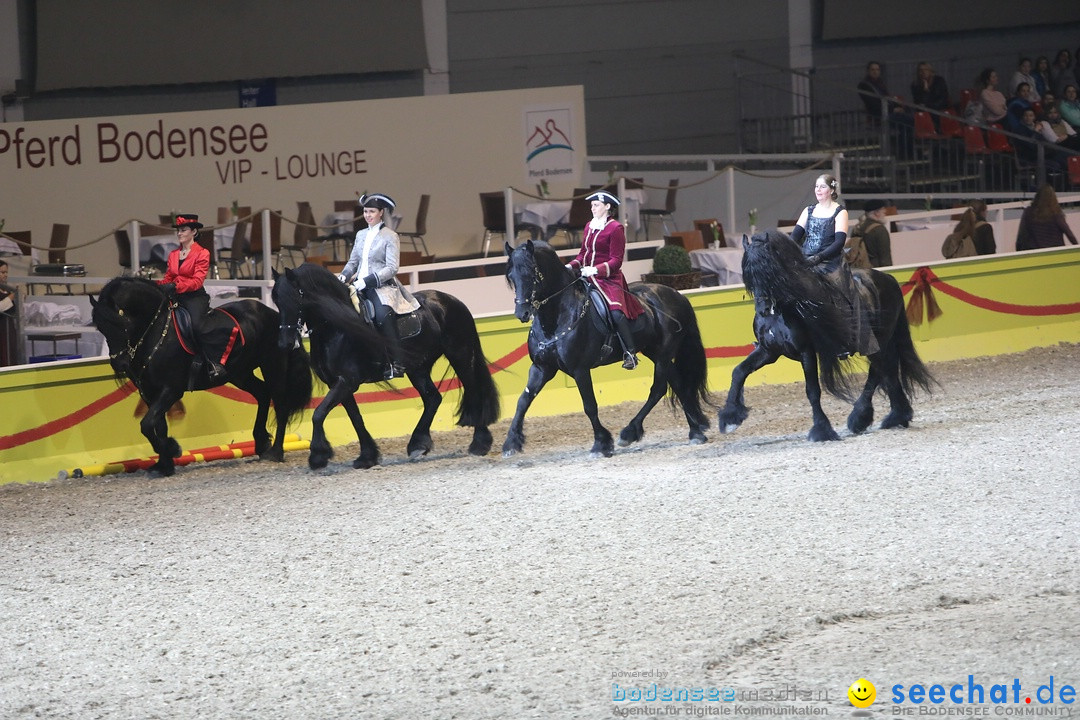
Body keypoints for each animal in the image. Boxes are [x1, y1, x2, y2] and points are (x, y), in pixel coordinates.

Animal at [91, 276, 315, 472]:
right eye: (100, 327)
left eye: (122, 323)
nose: (119, 363)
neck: (157, 331)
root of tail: (274, 314)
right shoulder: (149, 391)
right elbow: (156, 425)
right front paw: (164, 463)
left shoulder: (171, 389)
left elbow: (147, 424)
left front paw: (172, 449)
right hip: (240, 373)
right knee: (262, 393)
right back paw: (261, 442)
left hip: (273, 364)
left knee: (281, 404)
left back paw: (275, 452)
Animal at [274, 262, 501, 470]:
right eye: (276, 301)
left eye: (296, 298)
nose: (285, 343)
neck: (336, 329)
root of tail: (451, 300)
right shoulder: (338, 384)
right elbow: (355, 418)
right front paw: (367, 457)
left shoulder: (347, 381)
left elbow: (319, 413)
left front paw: (318, 456)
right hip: (418, 368)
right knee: (432, 398)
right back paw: (418, 444)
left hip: (460, 355)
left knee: (473, 391)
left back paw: (479, 444)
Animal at [501, 240, 712, 455]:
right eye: (511, 277)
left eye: (531, 274)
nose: (522, 313)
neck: (557, 318)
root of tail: (677, 295)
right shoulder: (542, 368)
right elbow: (523, 401)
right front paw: (511, 443)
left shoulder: (580, 370)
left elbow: (589, 405)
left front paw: (601, 443)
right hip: (656, 352)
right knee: (678, 384)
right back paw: (695, 432)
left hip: (663, 354)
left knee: (658, 389)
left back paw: (630, 432)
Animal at [717, 231, 937, 442]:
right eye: (748, 271)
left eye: (769, 268)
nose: (763, 309)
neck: (779, 312)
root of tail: (887, 278)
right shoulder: (768, 351)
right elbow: (739, 371)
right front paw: (729, 418)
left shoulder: (806, 351)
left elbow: (812, 390)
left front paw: (822, 430)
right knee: (886, 370)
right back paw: (894, 416)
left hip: (878, 341)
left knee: (879, 371)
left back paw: (865, 417)